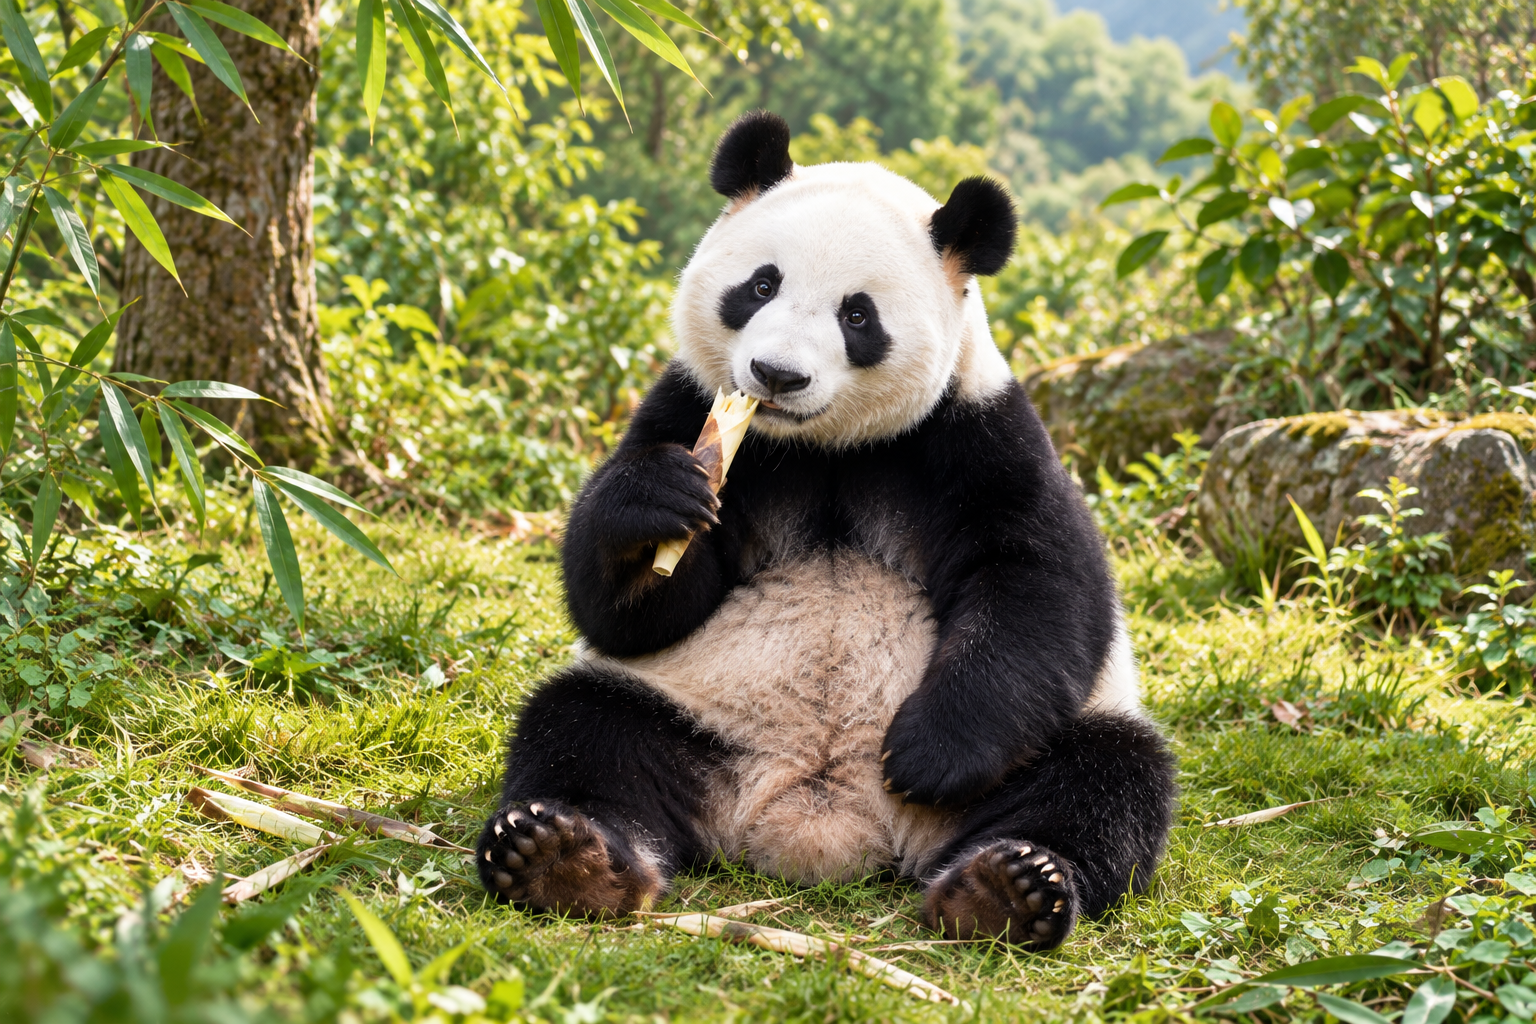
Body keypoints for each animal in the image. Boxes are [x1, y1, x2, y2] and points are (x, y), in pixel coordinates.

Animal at [476, 111, 1177, 948]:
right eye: (762, 285)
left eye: (857, 314)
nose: (777, 375)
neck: (820, 445)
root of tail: (822, 822)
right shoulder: (690, 408)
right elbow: (628, 611)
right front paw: (658, 509)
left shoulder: (977, 434)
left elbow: (1038, 582)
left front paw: (931, 753)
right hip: (691, 715)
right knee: (584, 728)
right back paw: (566, 857)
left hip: (1040, 749)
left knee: (1106, 776)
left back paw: (1008, 886)